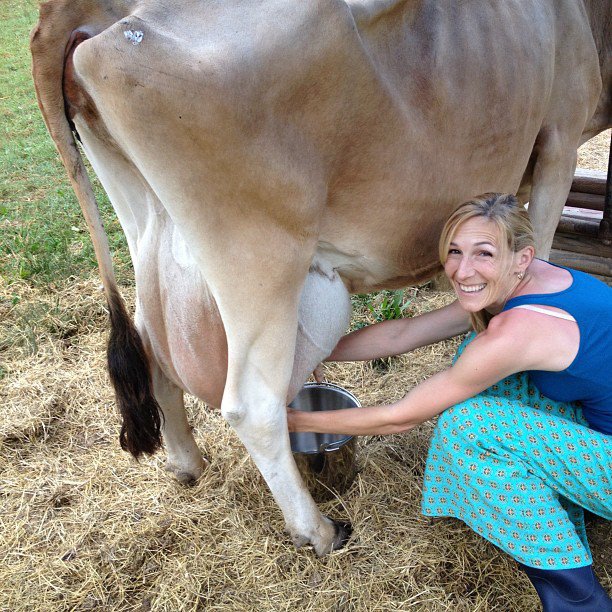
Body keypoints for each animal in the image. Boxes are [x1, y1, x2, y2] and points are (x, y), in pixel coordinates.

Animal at [31, 0, 610, 555]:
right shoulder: (559, 138)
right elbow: (539, 249)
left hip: (149, 231)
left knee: (152, 352)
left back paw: (186, 464)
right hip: (257, 253)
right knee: (251, 405)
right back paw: (318, 530)